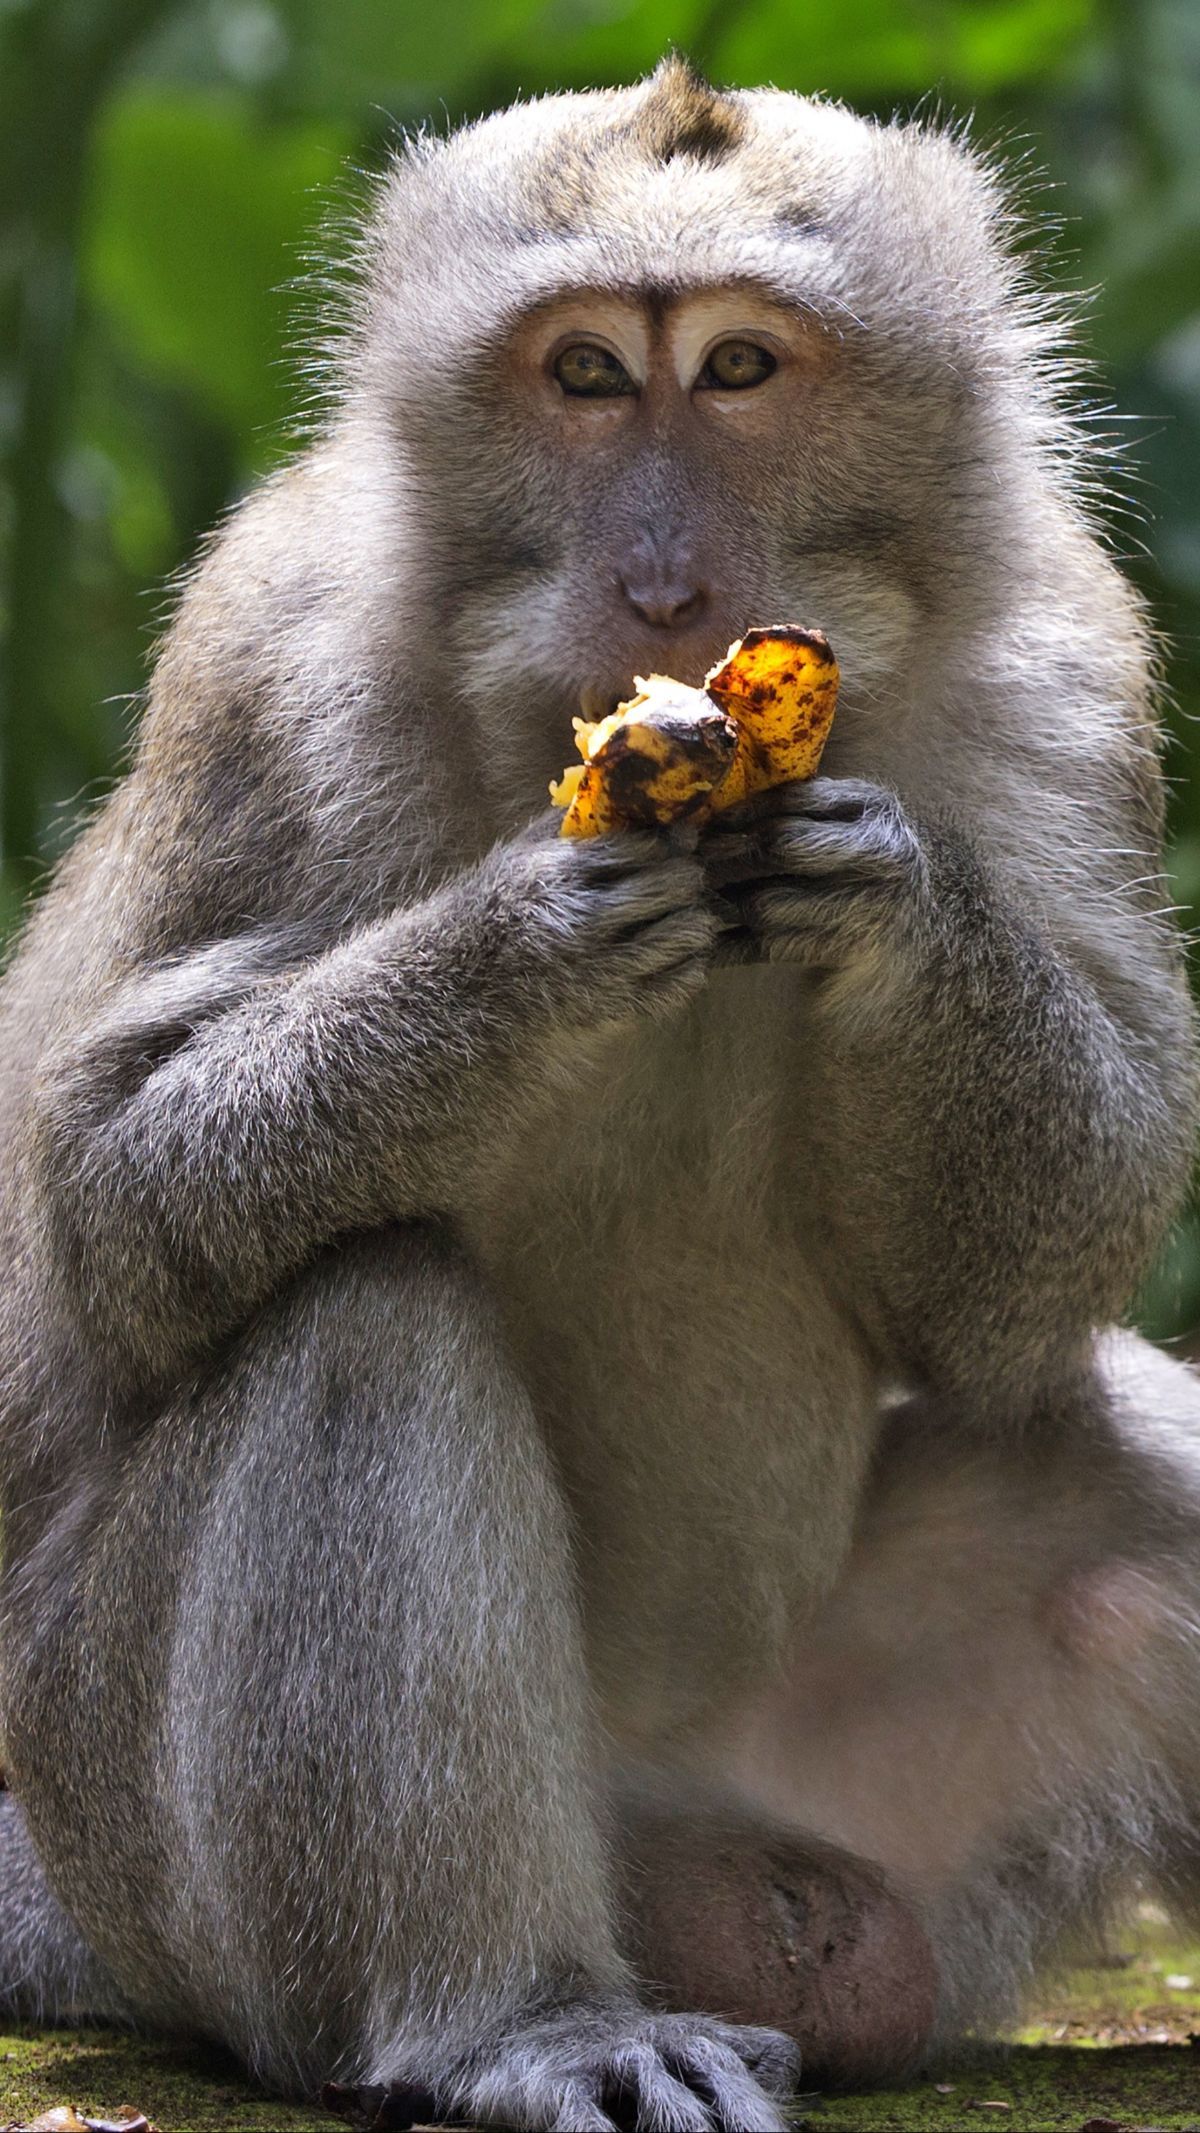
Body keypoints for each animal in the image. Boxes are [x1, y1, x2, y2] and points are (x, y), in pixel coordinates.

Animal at [2, 50, 1200, 2133]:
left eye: (737, 369)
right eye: (579, 374)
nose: (661, 580)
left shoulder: (1075, 663)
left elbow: (1034, 1275)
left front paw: (902, 903)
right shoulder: (269, 663)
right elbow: (111, 1208)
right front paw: (515, 950)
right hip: (140, 1855)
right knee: (363, 1313)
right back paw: (517, 2014)